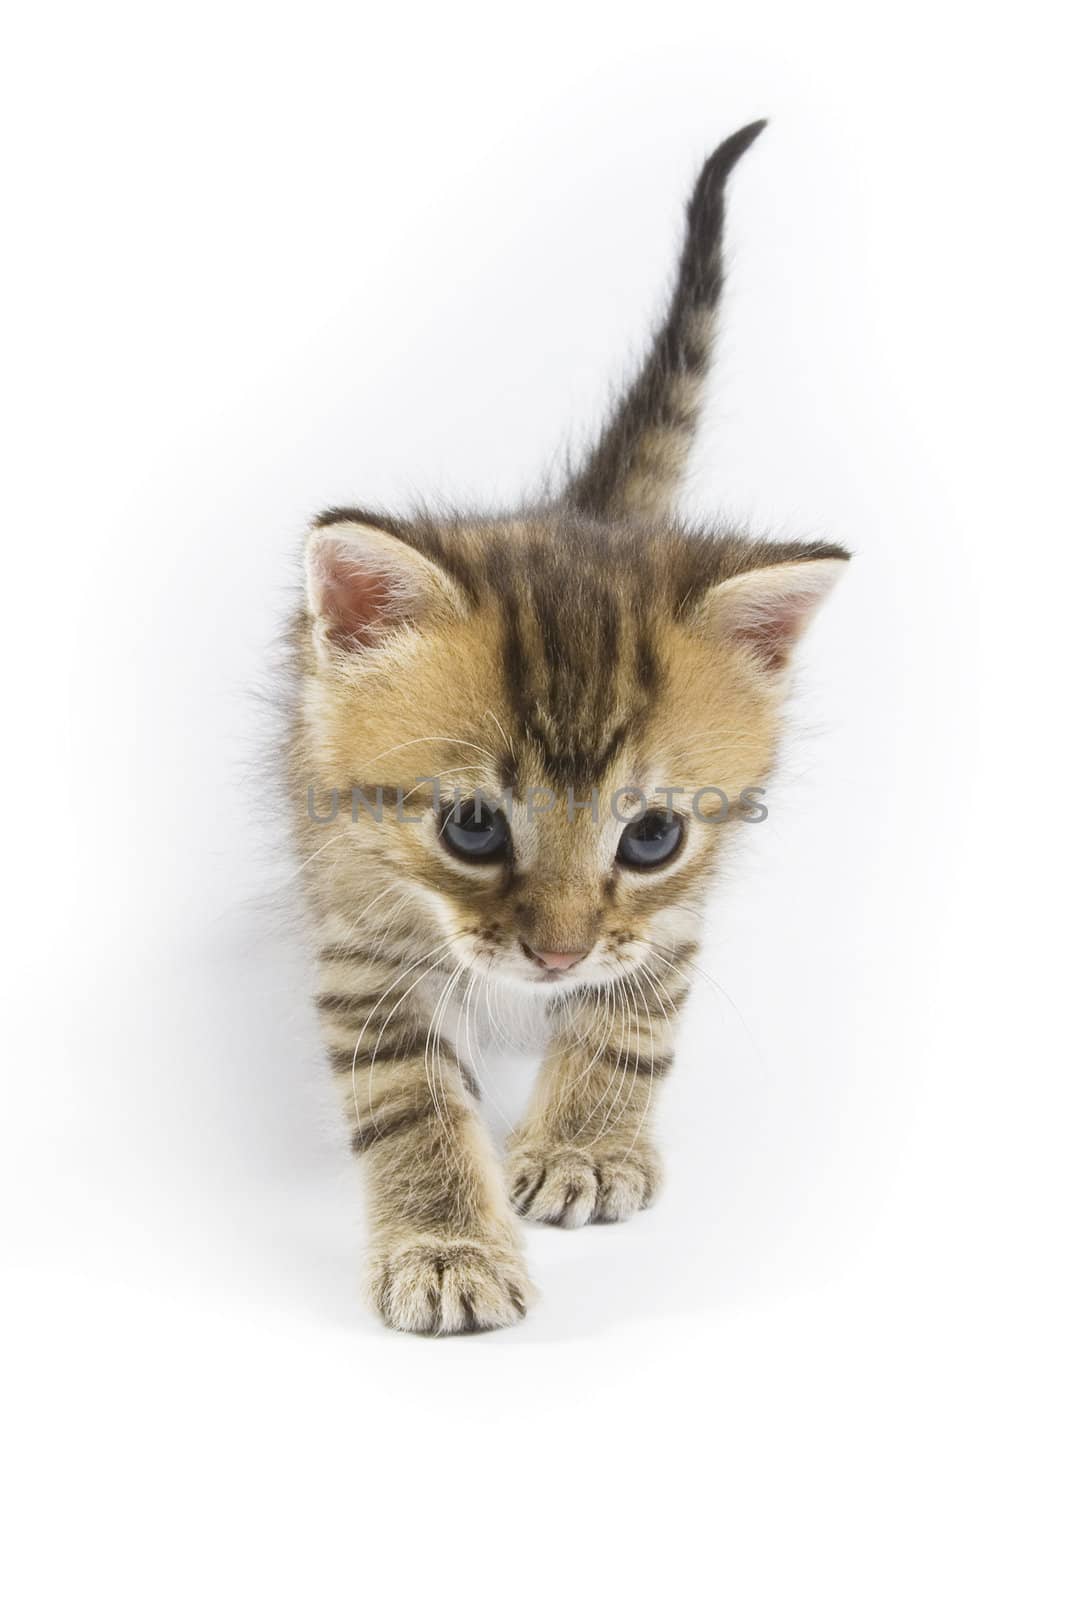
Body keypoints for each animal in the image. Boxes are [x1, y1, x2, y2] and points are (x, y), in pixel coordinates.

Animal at [287, 118, 844, 1331]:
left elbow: (639, 1006)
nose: (557, 955)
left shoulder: (673, 909)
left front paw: (587, 1141)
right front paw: (447, 1243)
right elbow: (405, 1093)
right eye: (471, 828)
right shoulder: (357, 925)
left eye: (651, 837)